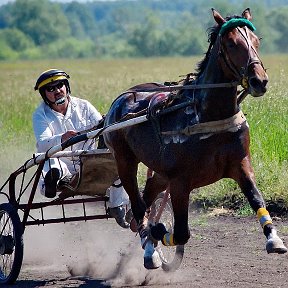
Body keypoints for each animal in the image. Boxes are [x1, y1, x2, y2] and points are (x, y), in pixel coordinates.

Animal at [104, 7, 288, 268]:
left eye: (256, 41)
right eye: (231, 43)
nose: (259, 81)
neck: (207, 115)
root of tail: (121, 99)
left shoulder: (240, 164)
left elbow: (257, 198)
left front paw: (274, 239)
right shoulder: (180, 181)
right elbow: (182, 232)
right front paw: (157, 231)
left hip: (160, 173)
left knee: (145, 200)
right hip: (124, 160)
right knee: (139, 207)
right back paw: (149, 246)